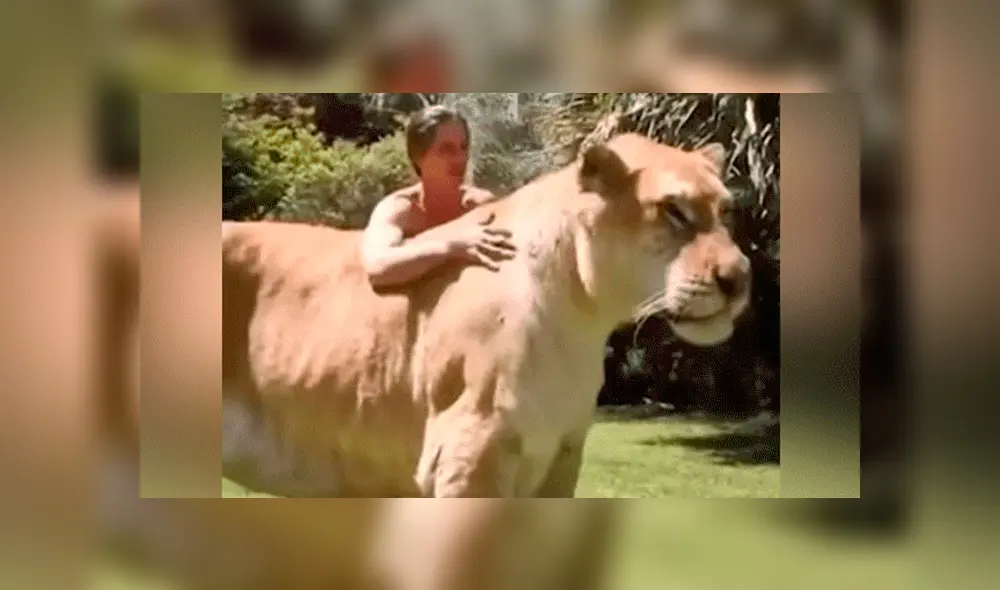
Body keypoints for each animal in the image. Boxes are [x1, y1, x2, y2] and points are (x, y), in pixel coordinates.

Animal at [221, 132, 750, 498]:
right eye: (673, 210)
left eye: (726, 210)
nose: (741, 278)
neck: (581, 320)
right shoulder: (467, 453)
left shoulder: (562, 458)